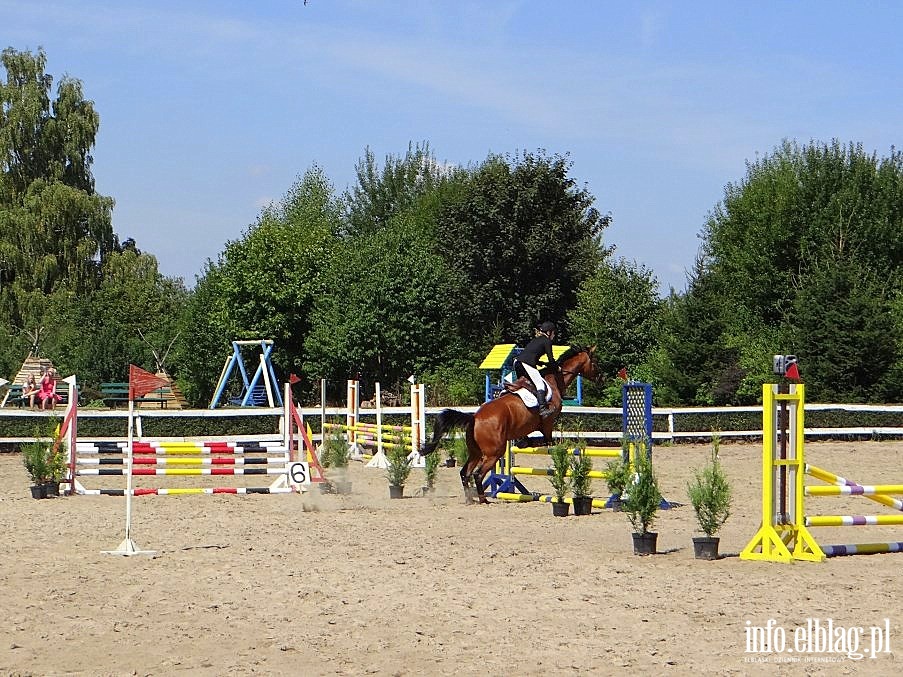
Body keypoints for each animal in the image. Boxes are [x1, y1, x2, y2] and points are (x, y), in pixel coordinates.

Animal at [422, 346, 600, 500]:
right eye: (594, 363)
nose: (601, 378)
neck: (554, 380)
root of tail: (475, 418)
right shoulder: (548, 422)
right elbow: (548, 440)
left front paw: (523, 442)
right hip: (494, 453)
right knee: (477, 474)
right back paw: (482, 499)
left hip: (475, 452)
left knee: (464, 473)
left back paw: (470, 498)